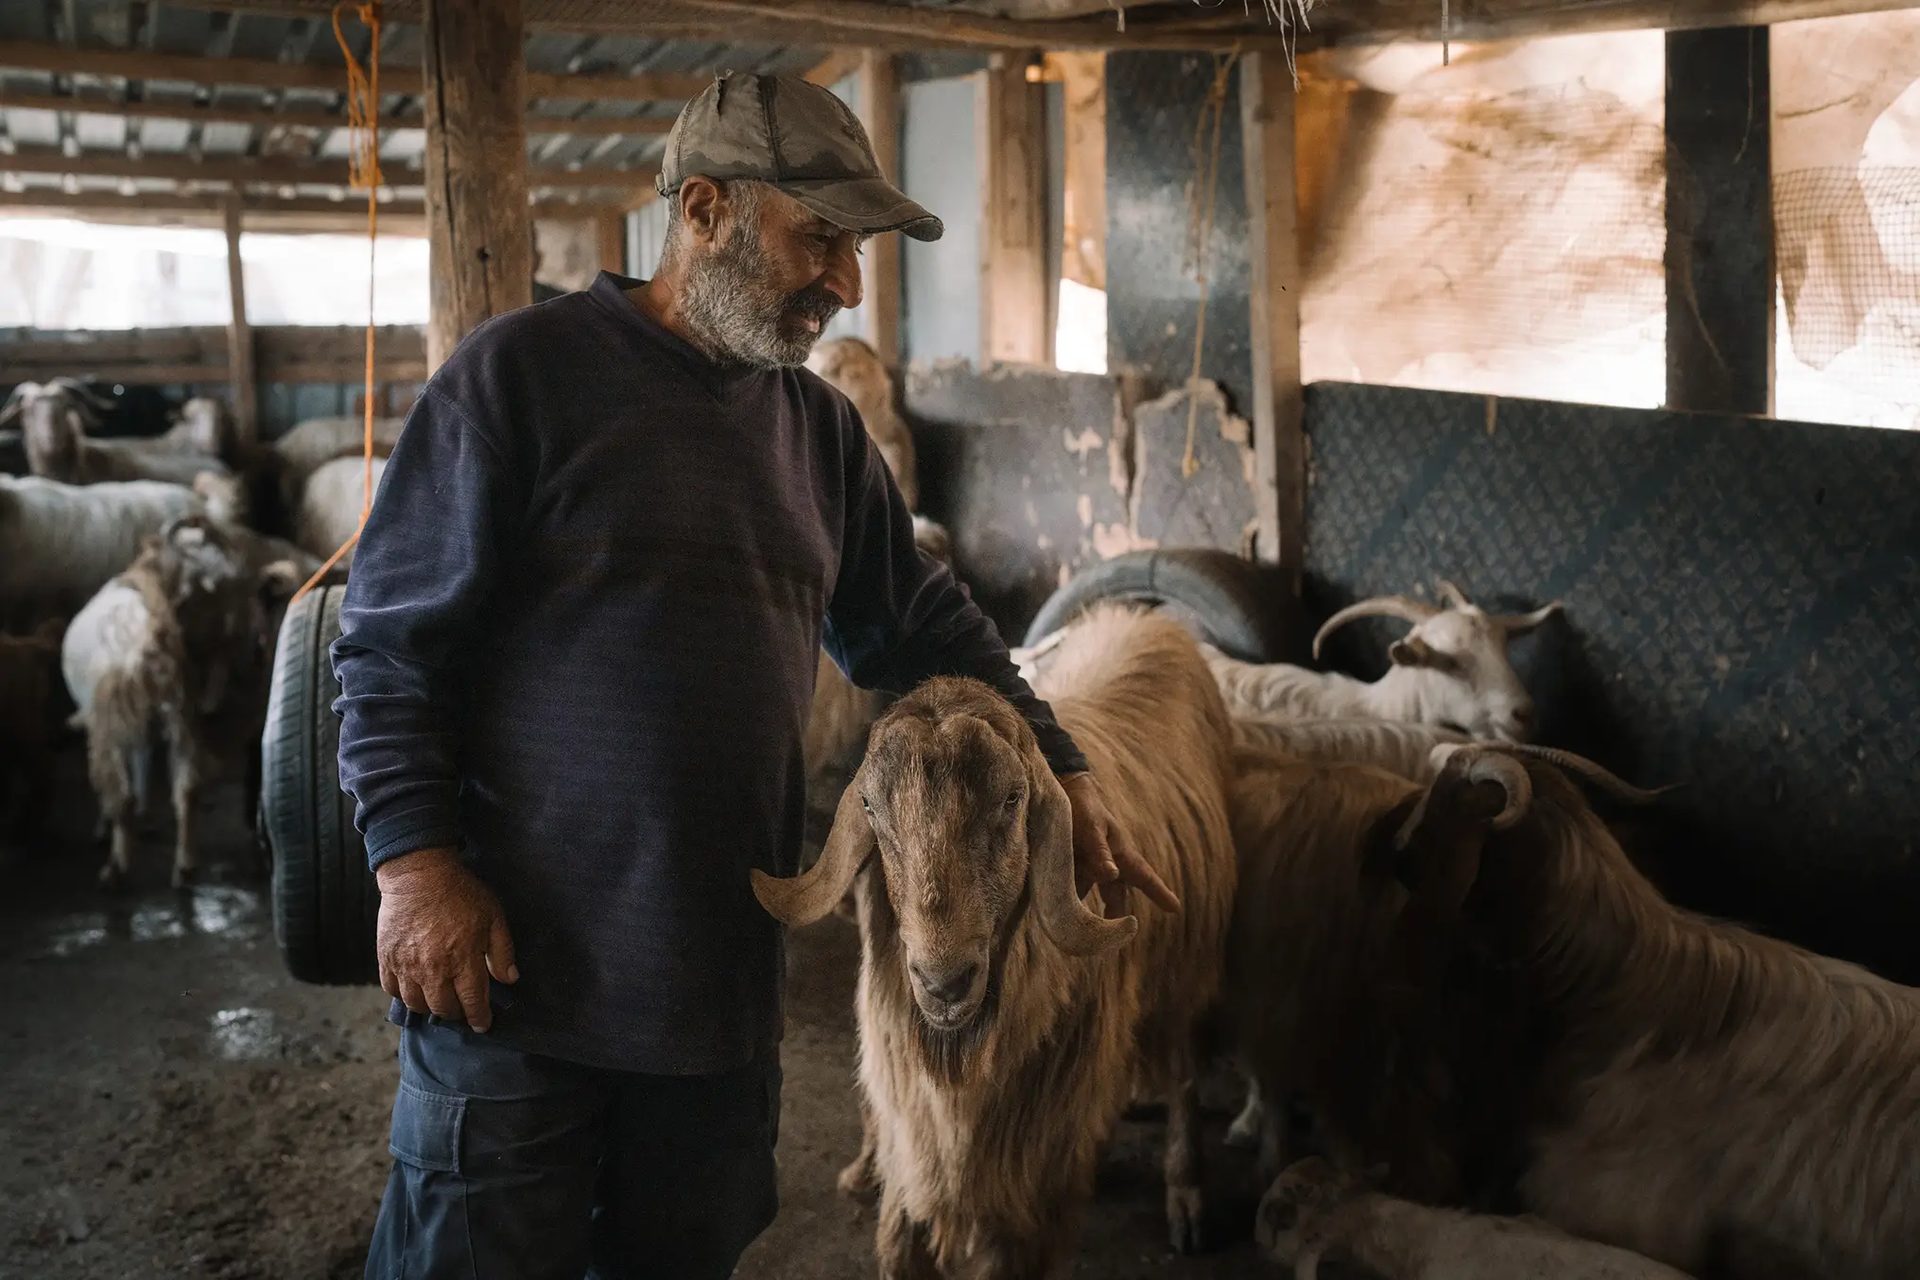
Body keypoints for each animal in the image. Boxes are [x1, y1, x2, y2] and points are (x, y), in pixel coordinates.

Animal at [748, 606, 1228, 1274]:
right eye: (869, 806)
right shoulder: (916, 1152)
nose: (944, 983)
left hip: (1189, 971)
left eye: (1012, 798)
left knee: (1183, 1075)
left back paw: (1188, 1201)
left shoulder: (1026, 1200)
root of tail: (1145, 618)